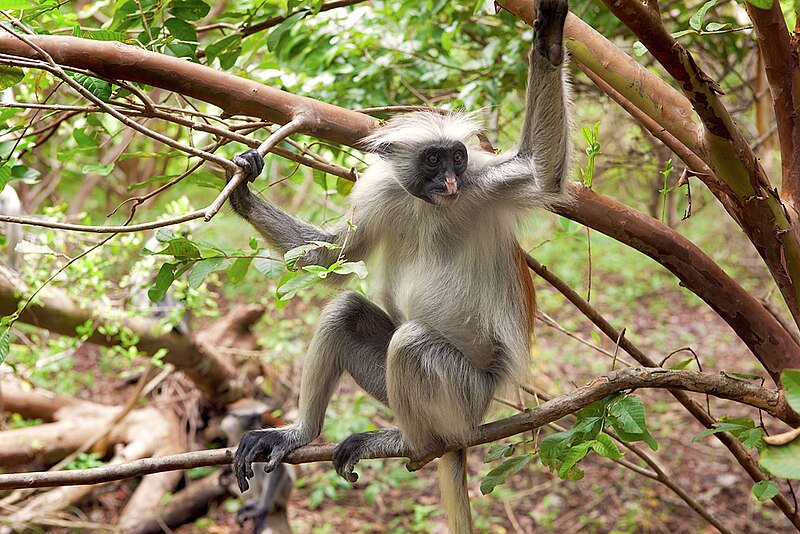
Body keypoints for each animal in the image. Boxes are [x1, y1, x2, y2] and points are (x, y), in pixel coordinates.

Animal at [228, 3, 572, 532]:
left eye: (457, 158)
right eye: (432, 160)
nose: (449, 182)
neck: (431, 206)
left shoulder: (485, 182)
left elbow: (541, 170)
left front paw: (550, 39)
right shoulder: (383, 193)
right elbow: (333, 256)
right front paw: (243, 193)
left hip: (465, 398)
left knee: (410, 343)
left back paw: (414, 444)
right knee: (347, 310)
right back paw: (300, 434)